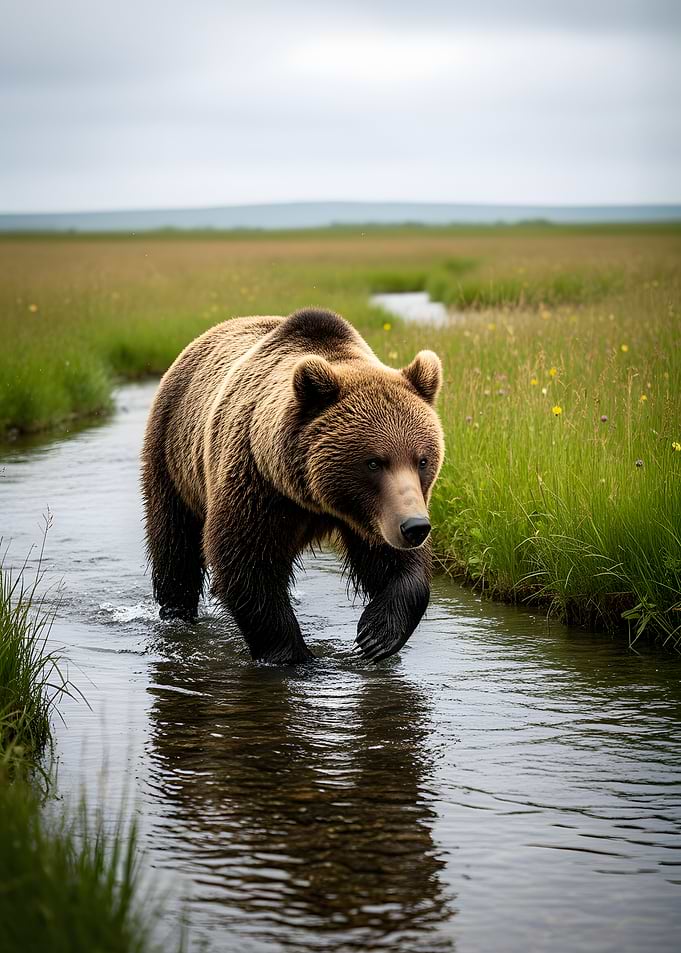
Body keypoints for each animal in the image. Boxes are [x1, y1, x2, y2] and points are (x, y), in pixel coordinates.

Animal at [141, 308, 444, 664]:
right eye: (373, 462)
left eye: (421, 460)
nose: (415, 527)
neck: (312, 497)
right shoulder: (255, 483)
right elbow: (245, 564)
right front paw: (293, 655)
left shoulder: (377, 513)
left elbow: (393, 563)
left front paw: (376, 634)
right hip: (173, 457)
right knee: (175, 544)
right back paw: (176, 613)